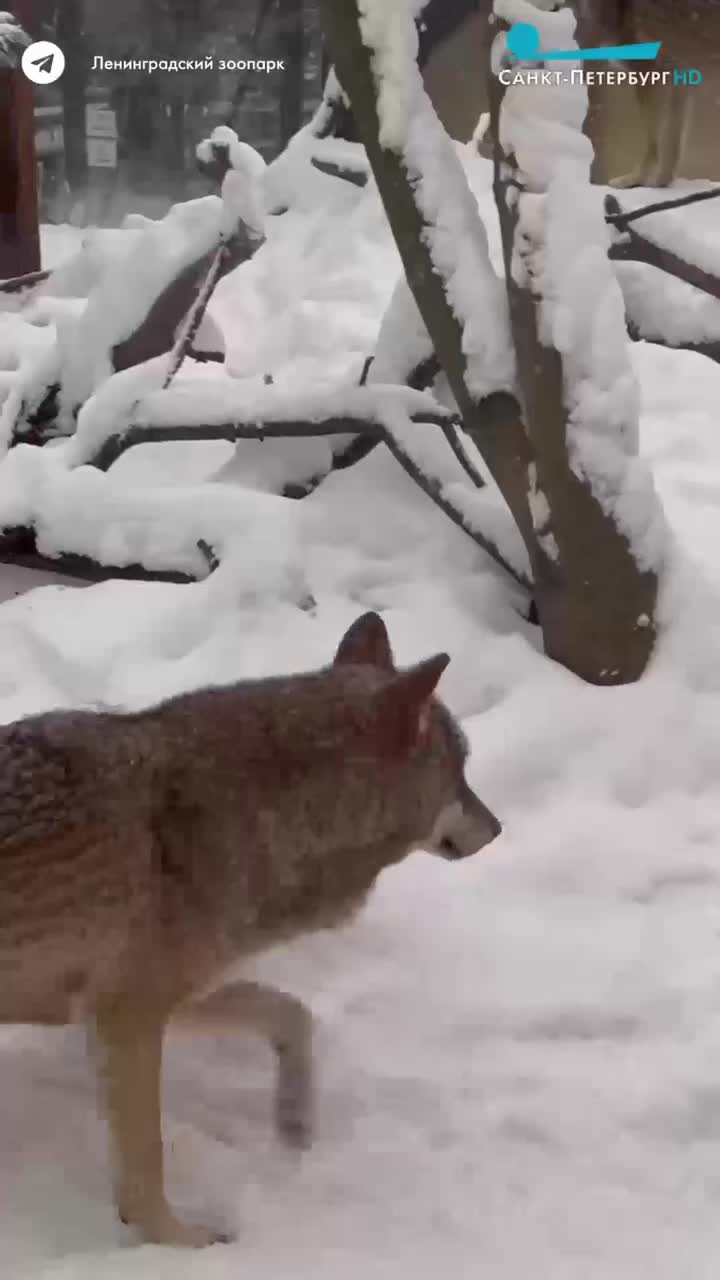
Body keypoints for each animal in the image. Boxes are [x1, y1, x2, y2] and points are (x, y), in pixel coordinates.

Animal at [0, 609, 499, 1249]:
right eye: (460, 772)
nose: (499, 827)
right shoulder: (127, 1017)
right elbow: (145, 1162)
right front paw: (183, 1243)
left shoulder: (156, 1001)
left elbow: (291, 1014)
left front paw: (294, 1120)